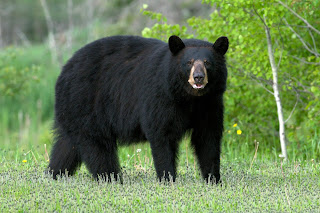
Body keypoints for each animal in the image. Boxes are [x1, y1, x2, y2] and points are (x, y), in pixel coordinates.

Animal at [48, 35, 229, 183]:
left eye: (207, 63)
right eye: (189, 62)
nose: (198, 77)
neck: (189, 98)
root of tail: (64, 70)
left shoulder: (210, 103)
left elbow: (208, 138)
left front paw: (213, 179)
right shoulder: (160, 98)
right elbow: (162, 135)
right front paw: (167, 178)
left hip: (73, 112)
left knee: (67, 146)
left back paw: (55, 173)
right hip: (87, 105)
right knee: (98, 147)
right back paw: (111, 178)